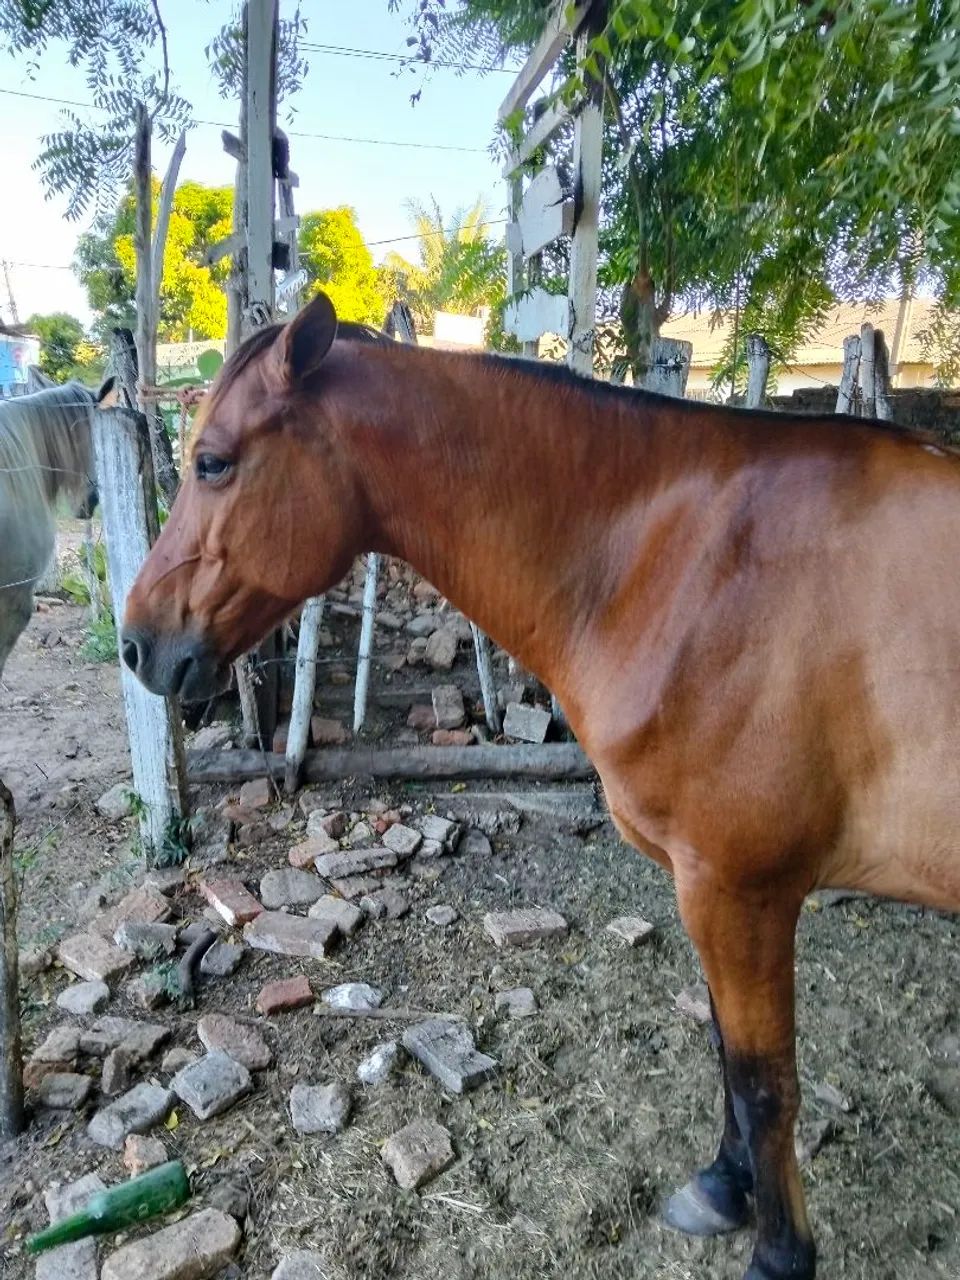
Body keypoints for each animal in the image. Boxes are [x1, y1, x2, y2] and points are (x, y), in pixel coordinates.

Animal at [121, 293, 960, 1280]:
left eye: (213, 461)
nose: (136, 643)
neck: (691, 561)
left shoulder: (742, 891)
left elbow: (764, 1083)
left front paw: (780, 1254)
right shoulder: (713, 894)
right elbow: (727, 1050)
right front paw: (723, 1186)